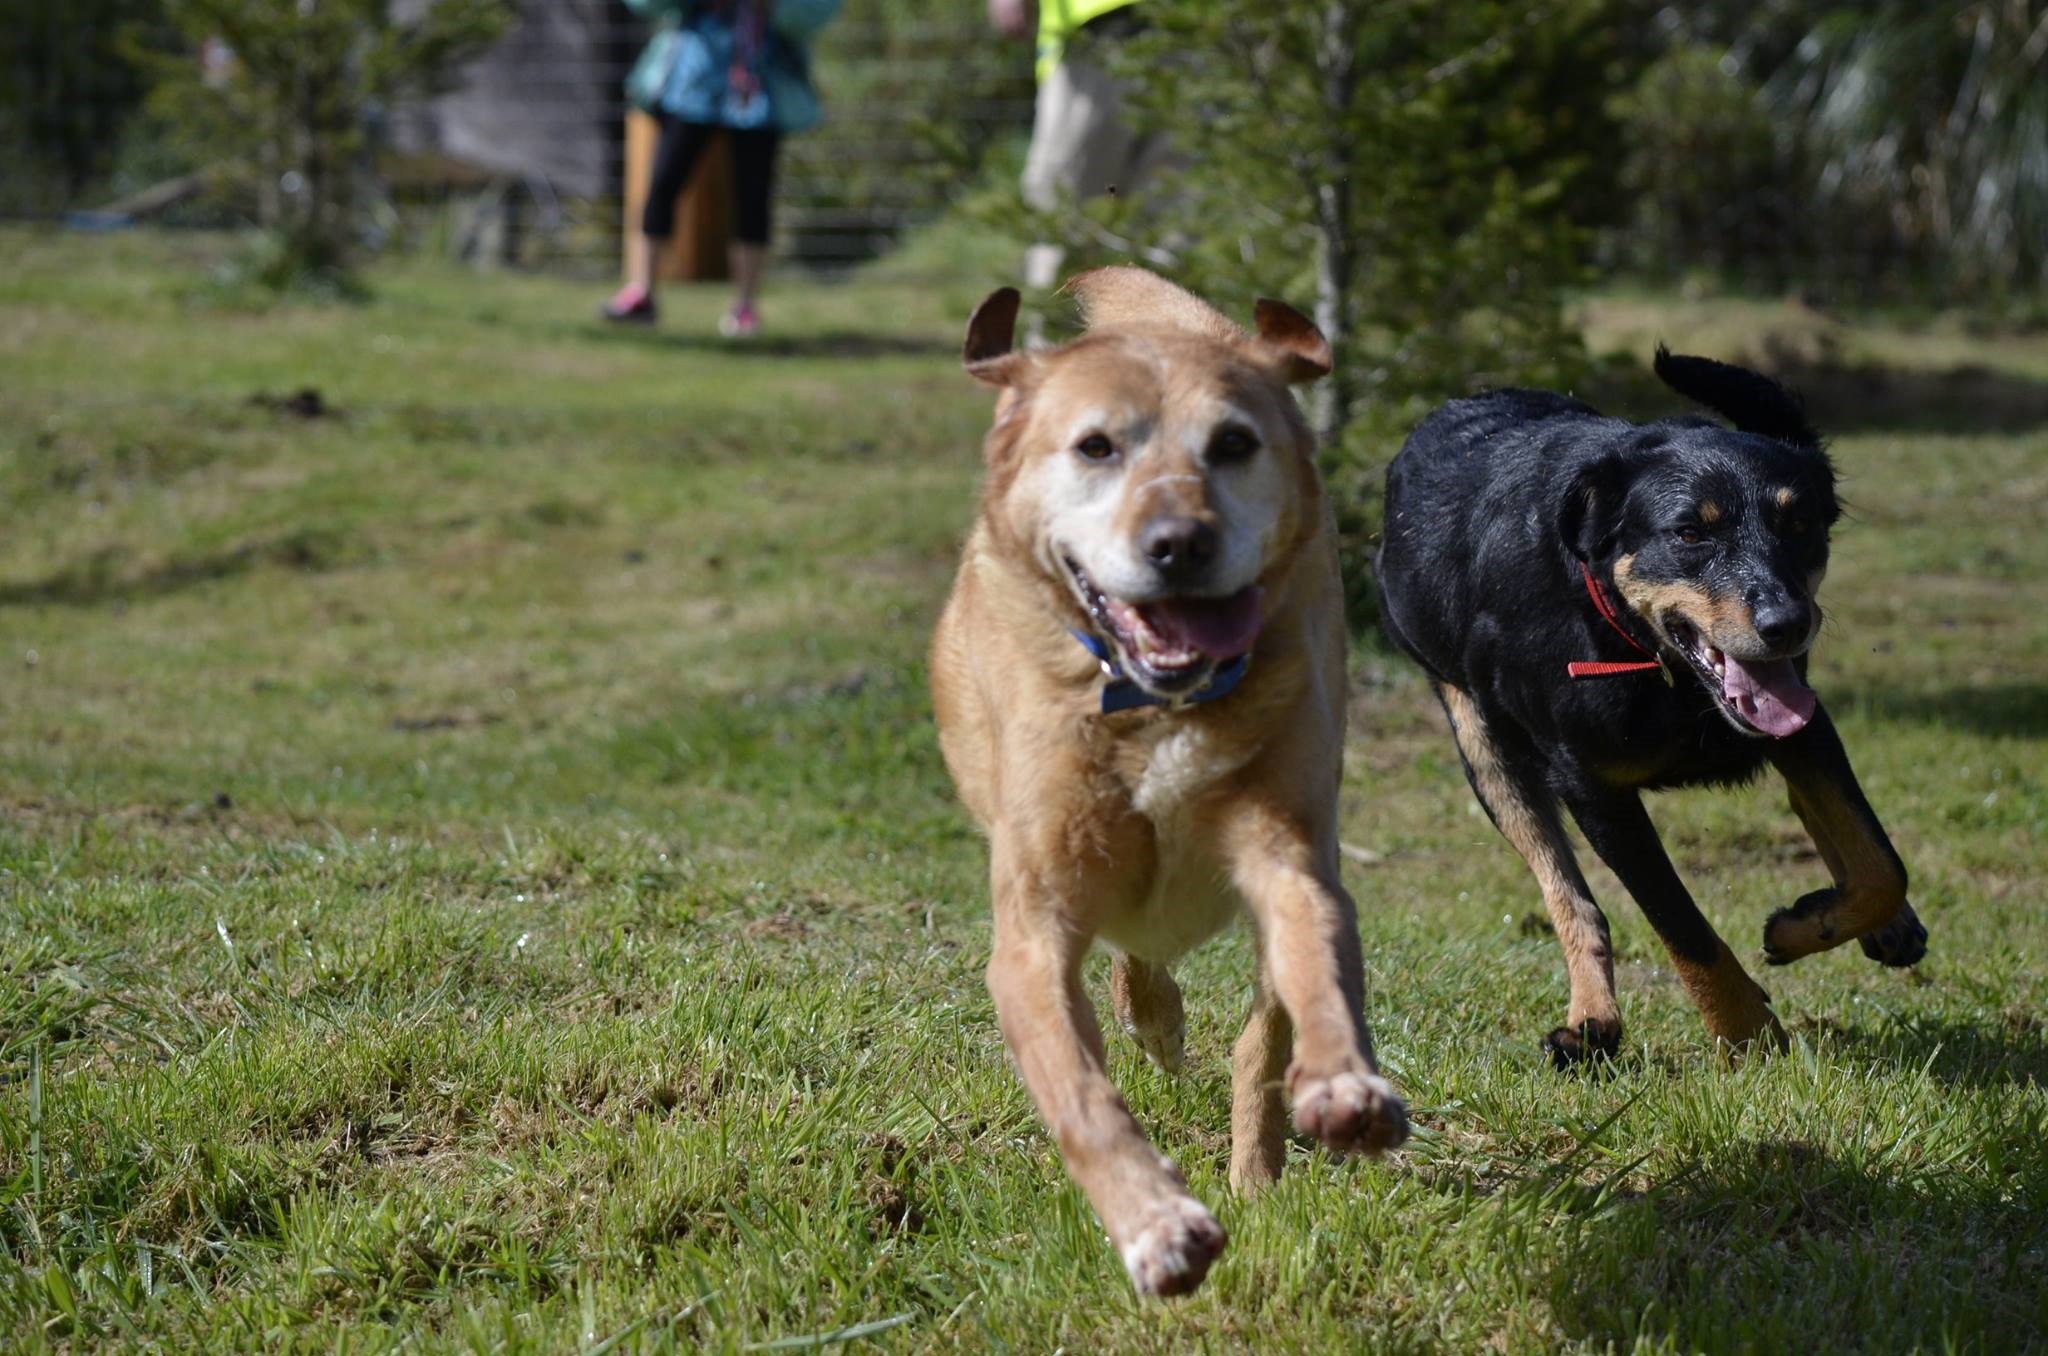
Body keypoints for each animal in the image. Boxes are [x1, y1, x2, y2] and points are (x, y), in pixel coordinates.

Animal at [929, 270, 1409, 1302]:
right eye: (1095, 446)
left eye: (1233, 443)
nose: (1180, 542)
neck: (1158, 709)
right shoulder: (1032, 931)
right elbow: (1081, 1095)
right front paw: (1154, 1222)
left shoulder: (1290, 855)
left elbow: (1312, 964)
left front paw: (1344, 1086)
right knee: (1139, 964)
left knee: (1258, 1033)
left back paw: (1258, 1158)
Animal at [1376, 352, 1916, 1073]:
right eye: (1689, 532)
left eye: (1798, 524)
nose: (1787, 623)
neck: (1648, 656)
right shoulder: (1592, 787)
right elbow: (1678, 922)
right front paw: (1748, 1035)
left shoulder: (1804, 725)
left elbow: (1879, 862)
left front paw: (1805, 924)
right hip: (1484, 747)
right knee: (1568, 893)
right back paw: (1590, 1022)